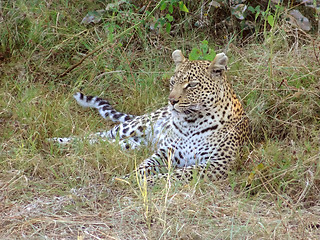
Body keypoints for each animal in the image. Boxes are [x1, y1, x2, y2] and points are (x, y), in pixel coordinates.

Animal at [51, 49, 249, 186]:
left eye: (192, 85)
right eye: (172, 82)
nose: (171, 101)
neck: (191, 123)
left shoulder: (218, 163)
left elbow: (179, 174)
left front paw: (150, 181)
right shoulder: (166, 151)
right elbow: (144, 165)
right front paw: (131, 177)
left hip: (132, 144)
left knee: (104, 143)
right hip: (132, 127)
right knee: (95, 136)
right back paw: (56, 141)